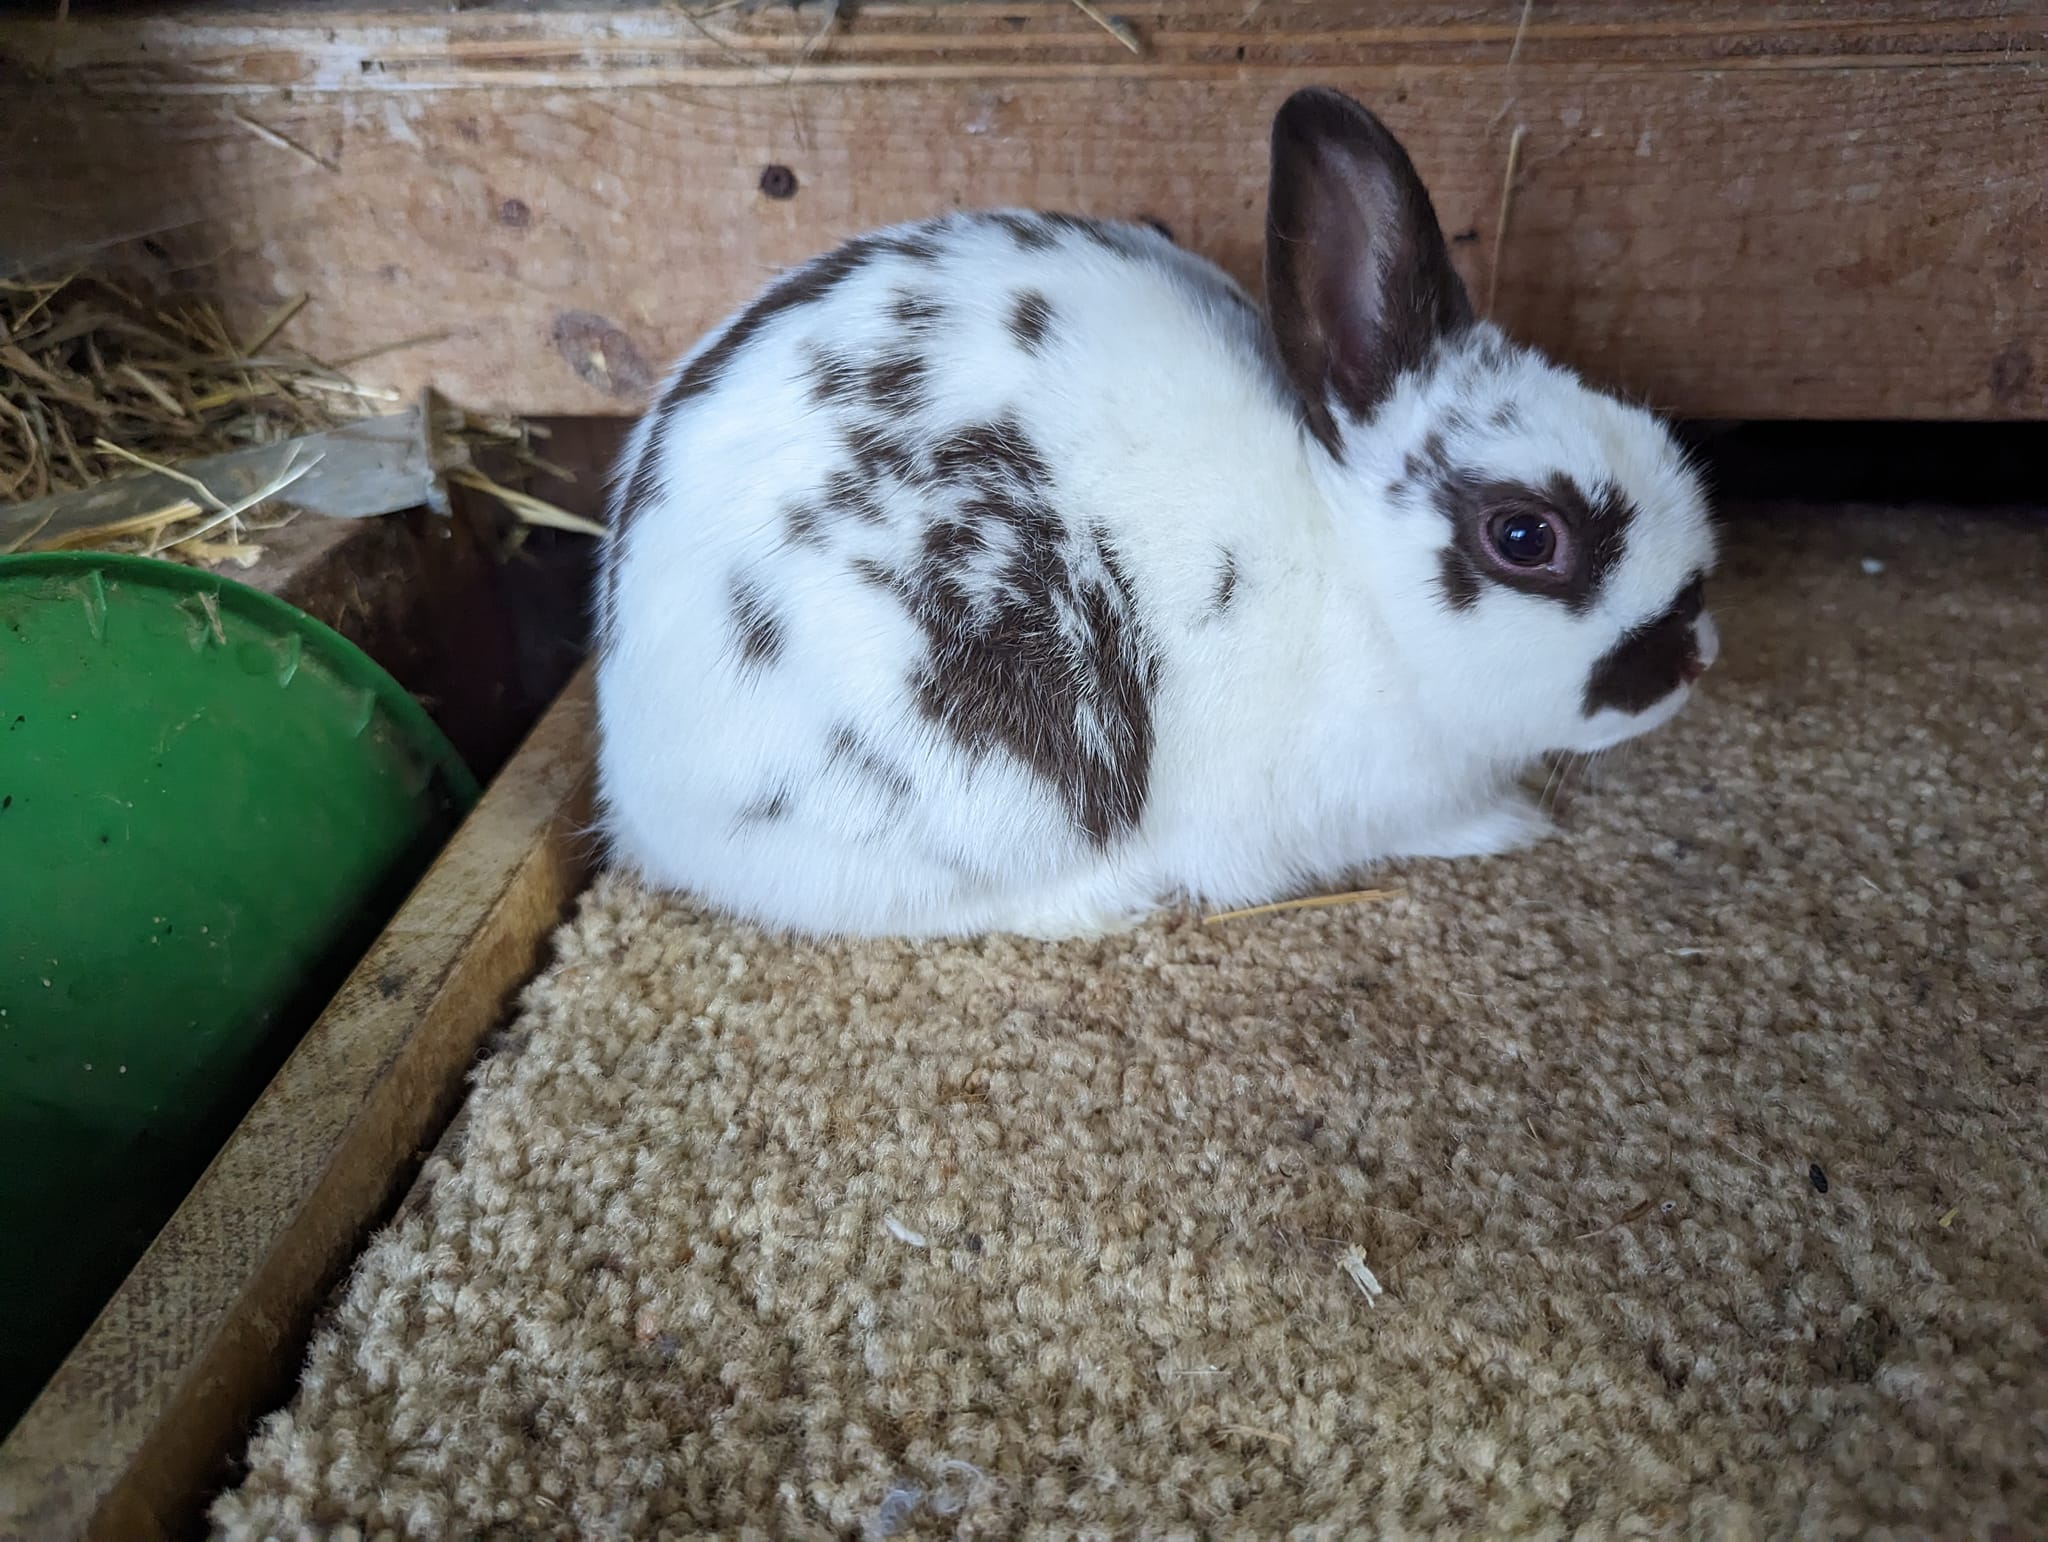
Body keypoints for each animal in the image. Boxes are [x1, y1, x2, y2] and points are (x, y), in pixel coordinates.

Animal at [594, 86, 1720, 940]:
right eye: (1525, 536)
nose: (1693, 656)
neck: (1354, 573)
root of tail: (639, 777)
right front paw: (1505, 826)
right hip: (984, 780)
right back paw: (1110, 897)